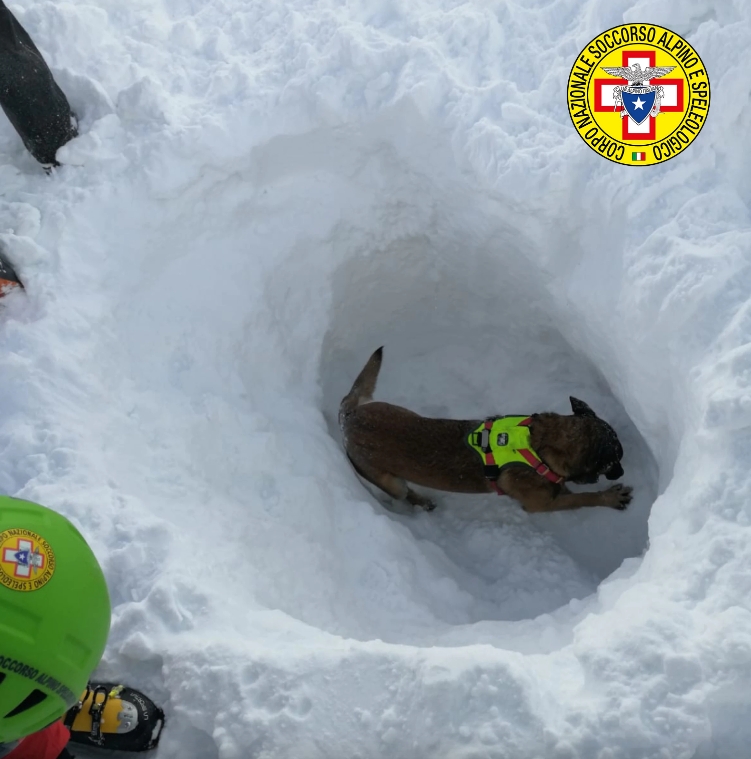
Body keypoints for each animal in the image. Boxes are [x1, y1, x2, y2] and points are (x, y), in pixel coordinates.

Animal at [340, 348, 636, 512]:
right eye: (615, 461)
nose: (622, 471)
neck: (541, 446)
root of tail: (349, 417)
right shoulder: (541, 505)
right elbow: (582, 498)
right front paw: (609, 498)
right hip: (391, 482)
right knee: (405, 494)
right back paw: (423, 502)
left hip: (400, 410)